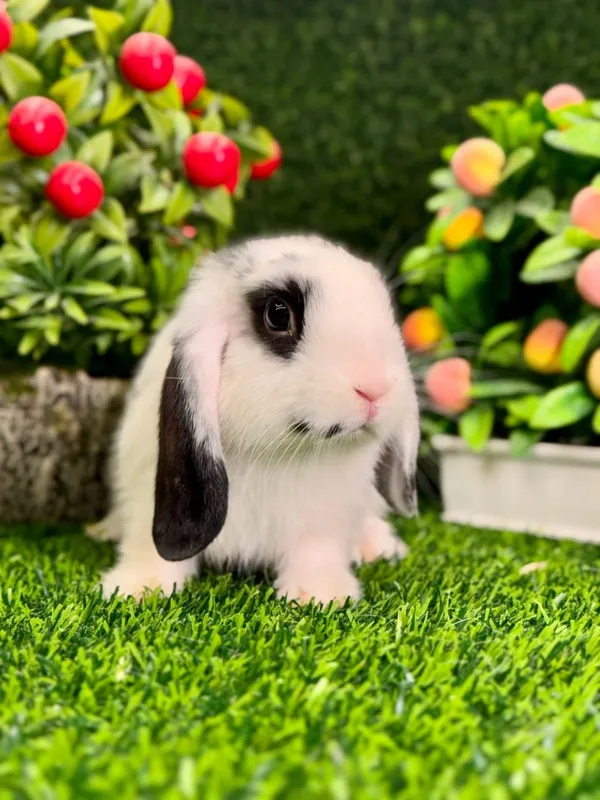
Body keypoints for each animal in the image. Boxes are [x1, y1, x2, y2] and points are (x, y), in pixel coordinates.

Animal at [90, 234, 420, 605]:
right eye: (278, 314)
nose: (376, 387)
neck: (277, 456)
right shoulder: (146, 496)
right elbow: (151, 550)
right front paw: (137, 589)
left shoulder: (325, 519)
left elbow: (316, 553)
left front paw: (321, 595)